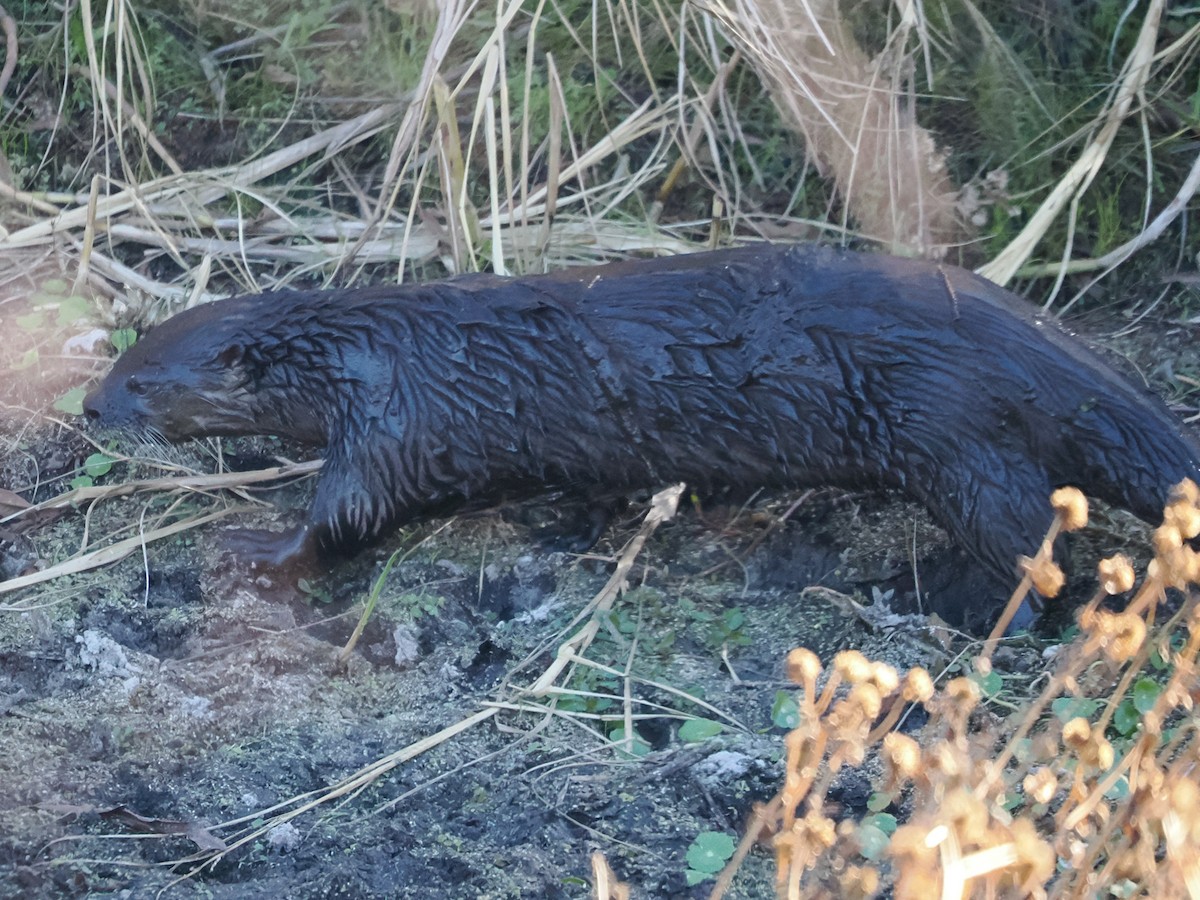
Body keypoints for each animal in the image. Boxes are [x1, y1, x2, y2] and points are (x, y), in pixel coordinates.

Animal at [83, 244, 1200, 624]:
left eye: (141, 381)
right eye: (119, 360)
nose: (89, 406)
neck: (366, 348)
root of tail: (1045, 341)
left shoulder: (393, 418)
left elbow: (347, 515)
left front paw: (253, 546)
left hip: (951, 428)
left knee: (1040, 549)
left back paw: (958, 605)